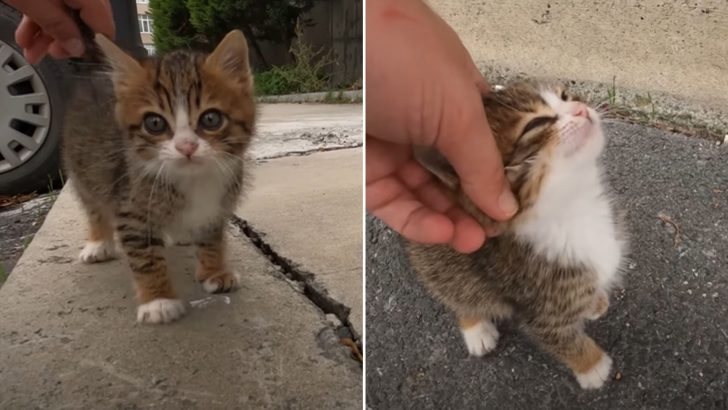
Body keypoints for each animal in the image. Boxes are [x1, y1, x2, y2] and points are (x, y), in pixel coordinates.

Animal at [63, 31, 256, 324]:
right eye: (154, 123)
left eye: (211, 119)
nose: (186, 146)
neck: (193, 179)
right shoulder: (131, 208)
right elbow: (145, 257)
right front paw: (158, 300)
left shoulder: (218, 205)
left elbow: (211, 236)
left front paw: (214, 271)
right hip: (83, 167)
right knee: (93, 204)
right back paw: (98, 242)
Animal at [410, 81, 624, 390]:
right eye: (536, 123)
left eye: (565, 96)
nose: (581, 108)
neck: (574, 206)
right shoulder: (538, 304)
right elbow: (559, 337)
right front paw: (592, 366)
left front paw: (593, 301)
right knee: (453, 287)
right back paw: (474, 326)